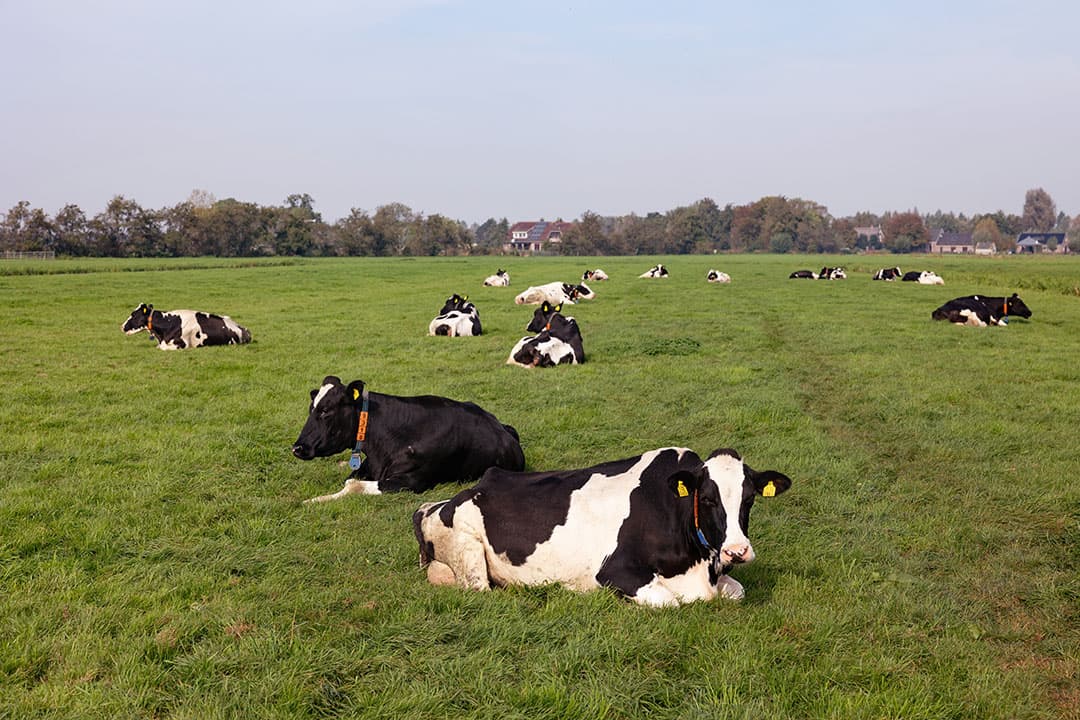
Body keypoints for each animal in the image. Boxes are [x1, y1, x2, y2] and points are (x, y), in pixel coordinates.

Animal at [292, 376, 525, 502]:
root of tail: (503, 427)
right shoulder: (368, 466)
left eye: (325, 411)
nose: (297, 448)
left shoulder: (413, 480)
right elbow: (350, 479)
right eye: (312, 408)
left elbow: (352, 486)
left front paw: (313, 500)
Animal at [413, 446, 792, 606]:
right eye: (708, 499)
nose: (737, 551)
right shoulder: (614, 571)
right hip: (468, 551)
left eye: (749, 500)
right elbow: (669, 601)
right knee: (480, 588)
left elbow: (738, 592)